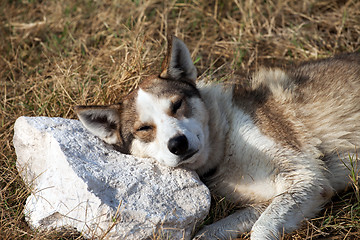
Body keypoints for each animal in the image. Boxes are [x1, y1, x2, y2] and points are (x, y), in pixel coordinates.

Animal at [75, 36, 360, 240]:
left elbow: (260, 230)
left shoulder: (307, 178)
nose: (178, 144)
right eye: (144, 128)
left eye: (176, 105)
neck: (226, 144)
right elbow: (209, 232)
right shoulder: (268, 201)